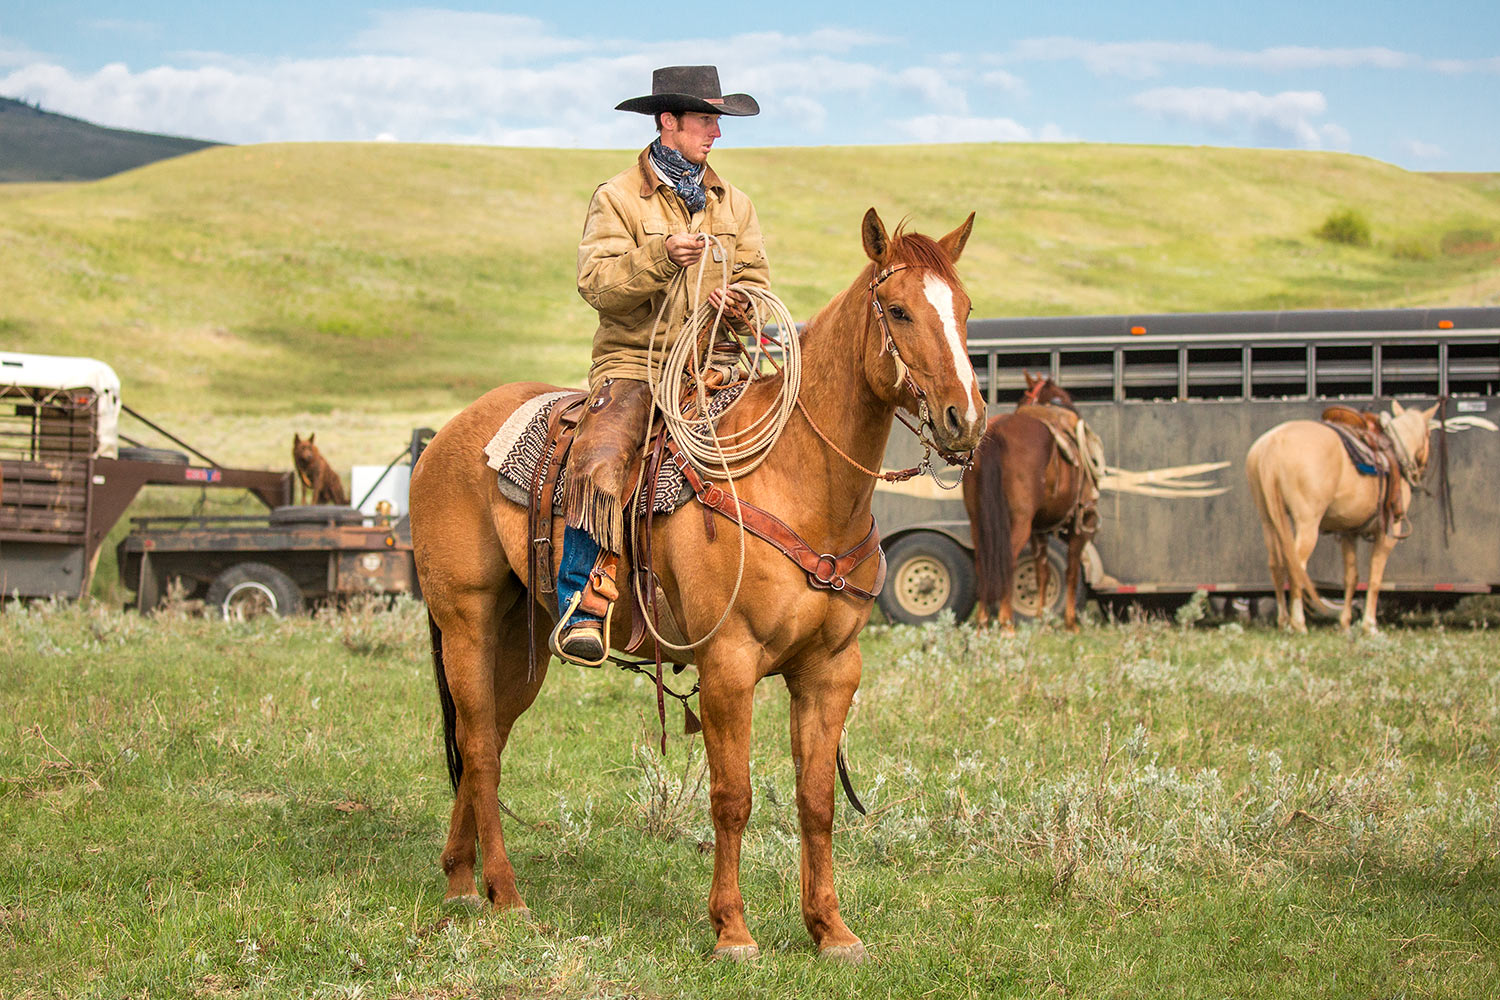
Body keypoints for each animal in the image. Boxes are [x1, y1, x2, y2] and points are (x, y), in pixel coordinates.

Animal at [405, 209, 984, 959]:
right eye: (900, 310)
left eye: (965, 310)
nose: (964, 420)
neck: (799, 480)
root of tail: (442, 441)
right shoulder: (729, 664)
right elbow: (732, 797)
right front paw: (732, 930)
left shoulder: (831, 670)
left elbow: (817, 801)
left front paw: (830, 929)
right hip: (465, 622)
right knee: (477, 745)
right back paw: (505, 893)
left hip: (519, 636)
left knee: (489, 744)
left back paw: (460, 882)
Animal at [960, 374, 1104, 632]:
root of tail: (997, 432)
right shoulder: (1079, 527)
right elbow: (1071, 571)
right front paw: (1070, 623)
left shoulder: (1040, 530)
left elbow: (1042, 571)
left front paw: (1041, 619)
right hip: (1020, 523)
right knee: (1008, 560)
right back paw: (1006, 622)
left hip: (978, 521)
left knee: (982, 561)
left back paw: (983, 620)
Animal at [1242, 398, 1440, 632]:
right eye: (1428, 436)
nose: (1421, 470)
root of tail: (1272, 444)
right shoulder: (1387, 534)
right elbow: (1375, 578)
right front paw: (1369, 625)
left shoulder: (1348, 532)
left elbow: (1351, 577)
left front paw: (1345, 623)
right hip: (1307, 523)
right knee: (1296, 565)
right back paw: (1299, 624)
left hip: (1268, 519)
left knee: (1276, 565)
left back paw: (1284, 622)